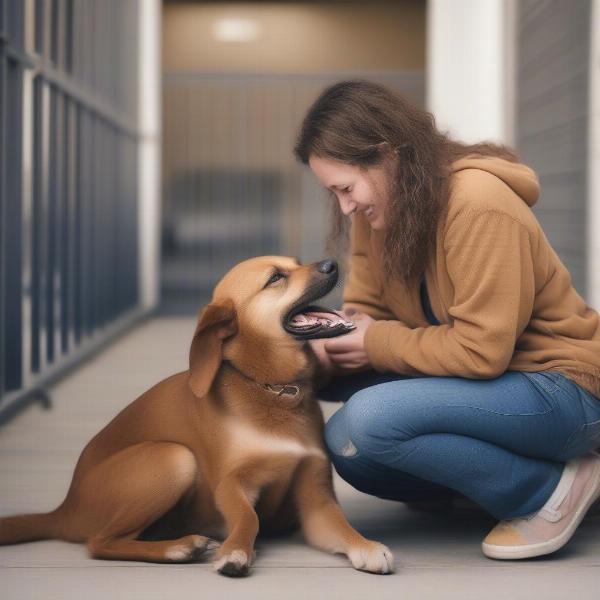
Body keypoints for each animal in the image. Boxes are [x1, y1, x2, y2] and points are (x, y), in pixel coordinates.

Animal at [0, 256, 396, 576]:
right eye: (275, 278)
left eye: (296, 262)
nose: (332, 263)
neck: (273, 388)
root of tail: (64, 509)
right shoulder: (232, 486)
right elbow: (248, 517)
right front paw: (236, 551)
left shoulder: (316, 499)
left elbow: (341, 526)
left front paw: (366, 546)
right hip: (173, 457)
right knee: (99, 542)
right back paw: (179, 547)